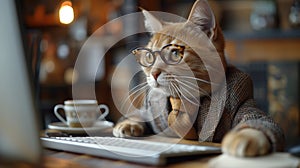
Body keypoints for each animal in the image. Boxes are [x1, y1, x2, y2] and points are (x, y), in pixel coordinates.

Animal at [112, 0, 284, 158]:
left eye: (175, 53)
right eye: (149, 56)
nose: (153, 73)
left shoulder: (242, 99)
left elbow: (259, 120)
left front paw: (245, 137)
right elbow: (140, 114)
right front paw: (128, 123)